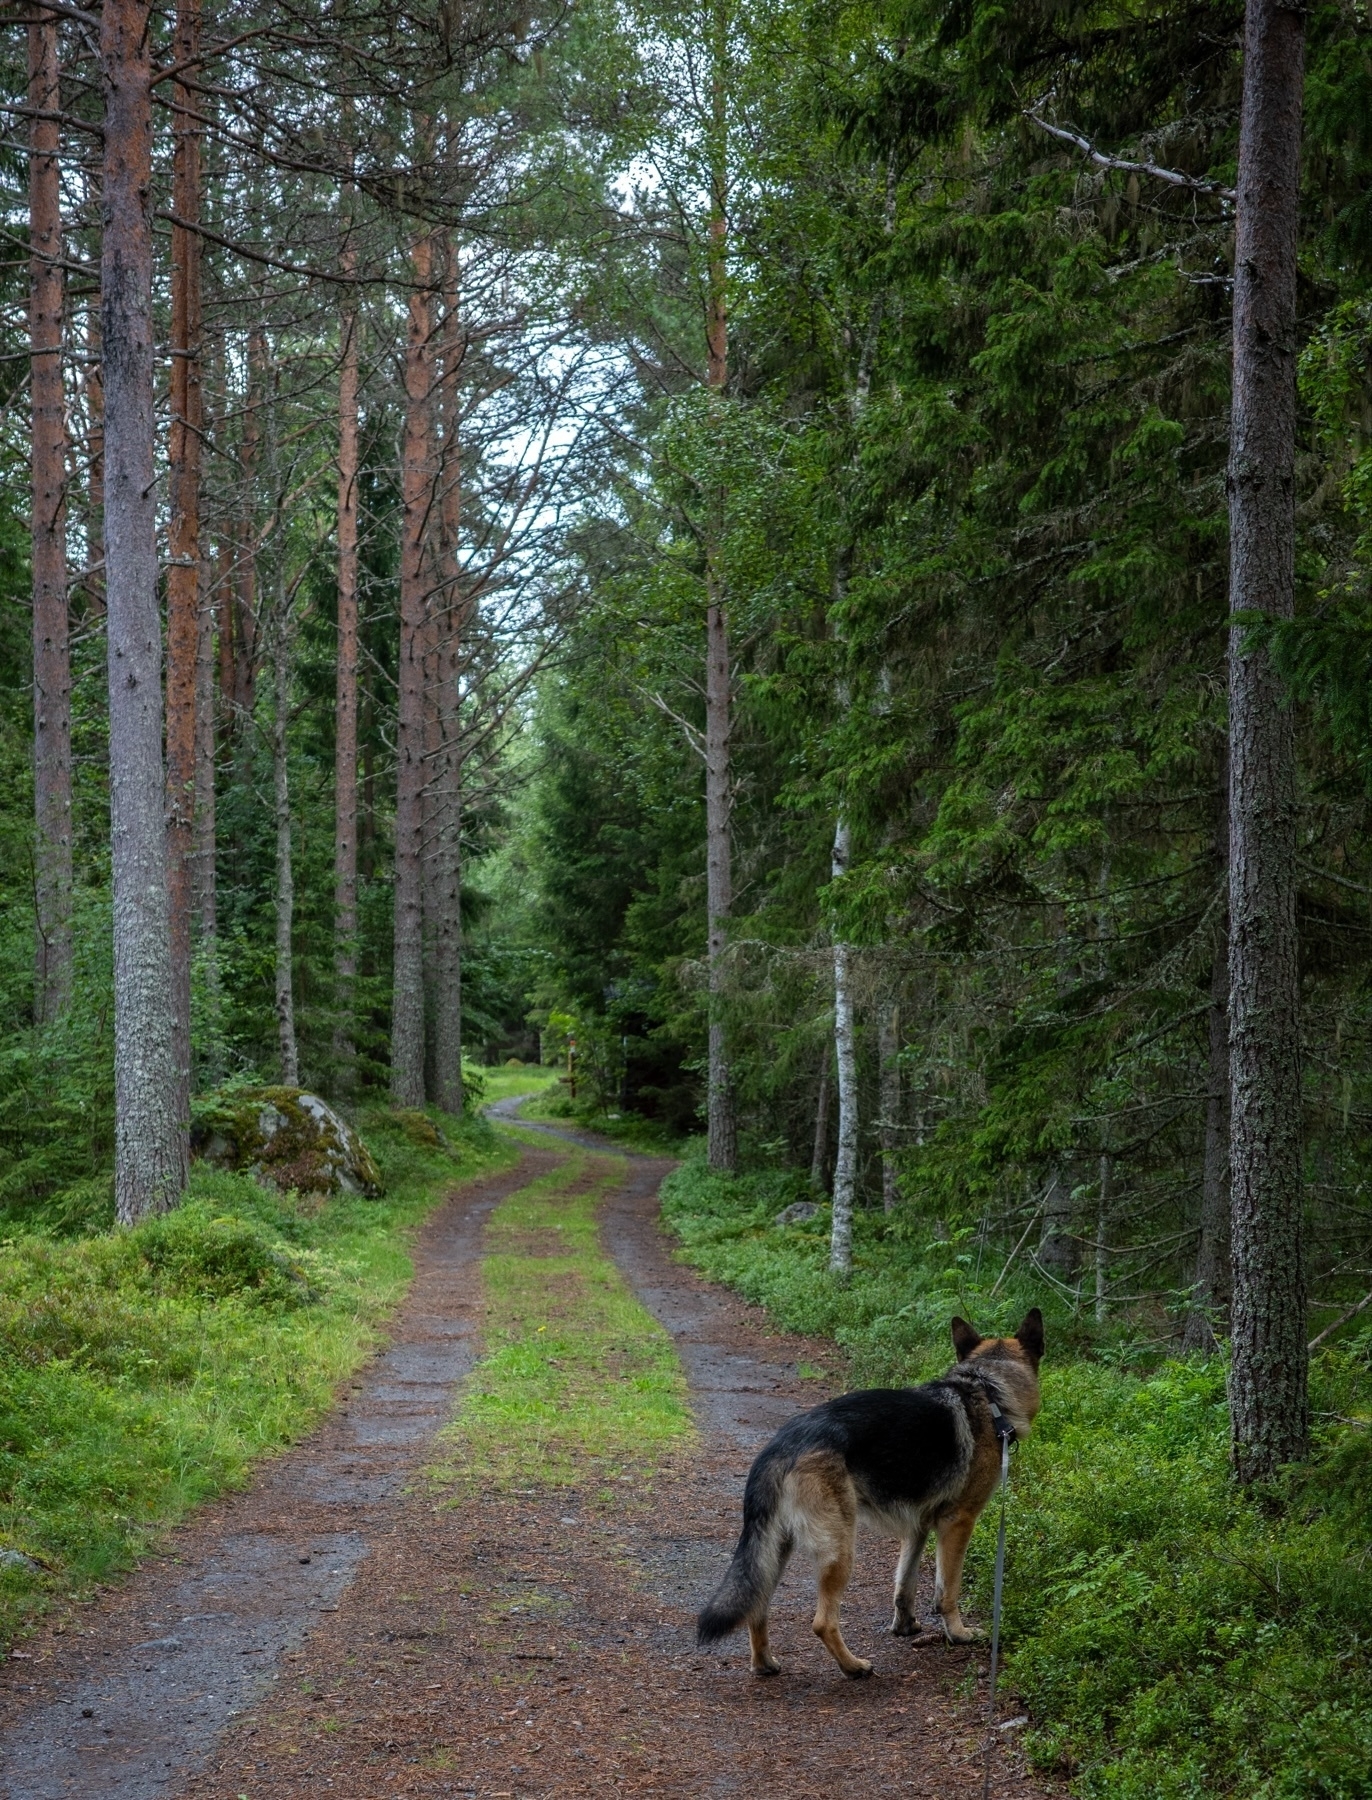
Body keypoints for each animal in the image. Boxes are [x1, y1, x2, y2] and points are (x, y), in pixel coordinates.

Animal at [695, 1310, 1037, 1670]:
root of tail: (781, 1446)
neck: (987, 1390)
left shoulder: (917, 1528)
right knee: (822, 1622)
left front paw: (905, 1626)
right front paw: (958, 1633)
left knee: (757, 1606)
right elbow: (947, 1591)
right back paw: (853, 1667)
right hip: (840, 1550)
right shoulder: (958, 1523)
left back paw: (765, 1664)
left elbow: (904, 1585)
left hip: (776, 1550)